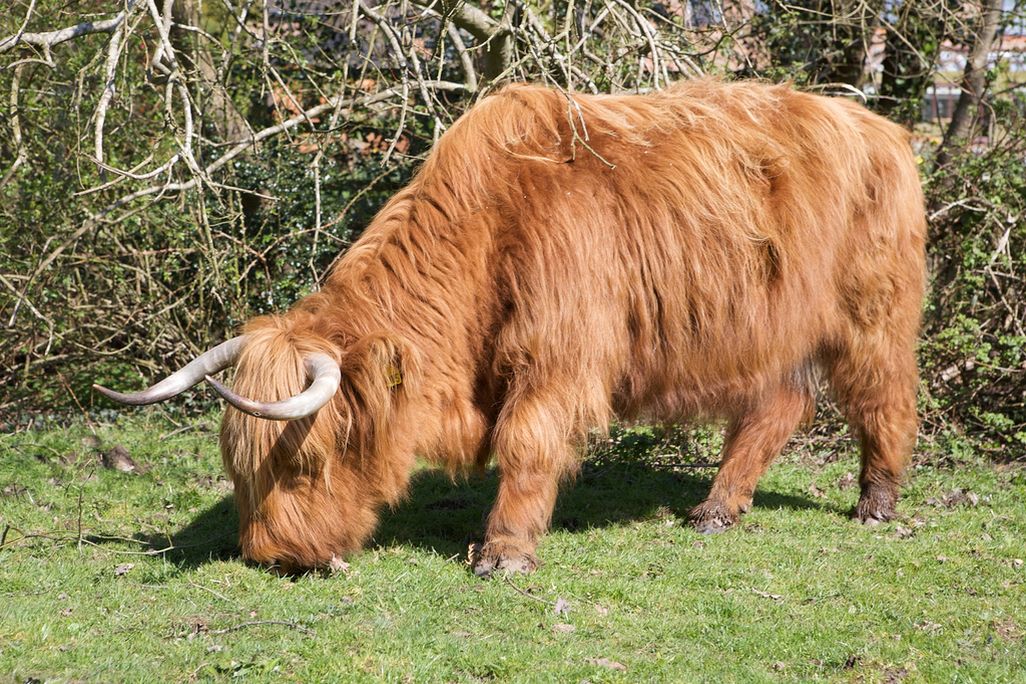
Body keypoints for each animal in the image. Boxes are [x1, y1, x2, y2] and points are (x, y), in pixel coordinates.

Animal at [96, 79, 926, 576]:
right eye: (236, 468)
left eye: (305, 463)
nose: (270, 556)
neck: (490, 232)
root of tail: (879, 125)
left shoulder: (557, 355)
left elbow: (527, 443)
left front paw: (503, 554)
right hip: (768, 330)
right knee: (776, 406)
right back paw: (716, 511)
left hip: (872, 311)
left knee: (883, 396)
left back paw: (876, 504)